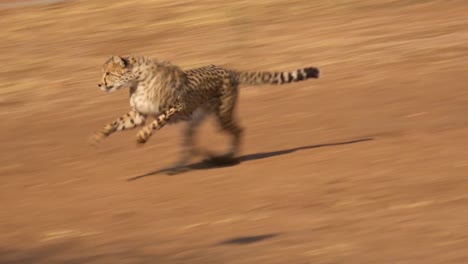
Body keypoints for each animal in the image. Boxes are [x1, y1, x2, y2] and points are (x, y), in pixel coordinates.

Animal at [90, 55, 320, 174]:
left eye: (108, 73)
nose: (99, 84)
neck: (137, 79)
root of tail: (227, 69)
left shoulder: (176, 106)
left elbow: (155, 123)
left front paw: (142, 137)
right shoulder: (137, 115)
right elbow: (114, 123)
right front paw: (97, 136)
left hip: (222, 116)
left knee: (239, 129)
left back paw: (228, 157)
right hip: (196, 120)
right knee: (190, 145)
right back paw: (181, 165)